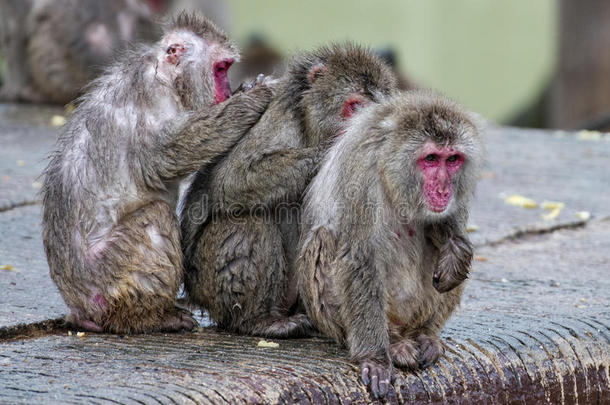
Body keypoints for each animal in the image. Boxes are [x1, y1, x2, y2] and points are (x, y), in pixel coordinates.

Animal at [41, 13, 270, 334]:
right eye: (221, 68)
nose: (226, 91)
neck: (167, 77)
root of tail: (79, 306)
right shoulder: (150, 99)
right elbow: (164, 158)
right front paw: (249, 101)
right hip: (109, 275)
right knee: (156, 216)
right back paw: (148, 317)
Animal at [179, 42, 400, 336]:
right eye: (355, 107)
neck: (308, 124)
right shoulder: (279, 116)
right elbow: (233, 179)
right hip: (209, 286)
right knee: (249, 223)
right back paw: (259, 321)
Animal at [296, 91, 482, 398]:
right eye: (431, 159)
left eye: (452, 159)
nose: (444, 189)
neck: (390, 166)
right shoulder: (361, 173)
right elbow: (358, 257)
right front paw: (375, 358)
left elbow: (449, 231)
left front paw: (456, 249)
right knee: (324, 237)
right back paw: (393, 343)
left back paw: (424, 335)